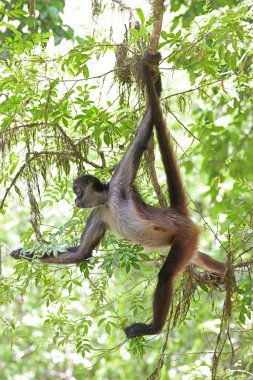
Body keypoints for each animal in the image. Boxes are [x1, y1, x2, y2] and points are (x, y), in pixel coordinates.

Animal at [10, 51, 226, 338]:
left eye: (77, 191)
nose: (75, 200)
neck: (108, 203)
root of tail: (176, 214)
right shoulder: (98, 213)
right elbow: (81, 253)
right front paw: (22, 253)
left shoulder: (119, 184)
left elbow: (142, 137)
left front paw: (154, 84)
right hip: (185, 243)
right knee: (201, 260)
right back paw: (229, 271)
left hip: (185, 236)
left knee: (166, 275)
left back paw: (153, 327)